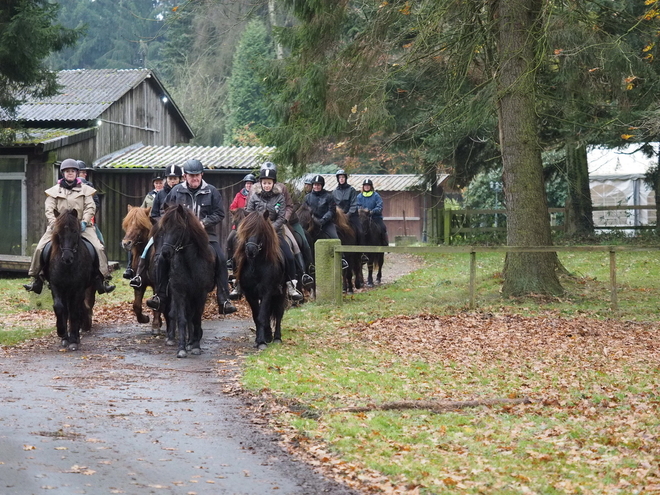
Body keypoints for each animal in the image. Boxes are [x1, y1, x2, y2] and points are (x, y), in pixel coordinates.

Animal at [47, 209, 97, 352]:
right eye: (58, 233)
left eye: (74, 231)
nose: (67, 258)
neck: (67, 267)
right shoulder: (56, 286)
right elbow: (59, 307)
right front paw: (62, 333)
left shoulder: (78, 289)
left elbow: (74, 311)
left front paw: (74, 340)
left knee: (77, 309)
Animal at [121, 203, 164, 332]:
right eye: (127, 224)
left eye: (140, 225)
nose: (126, 243)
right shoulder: (139, 284)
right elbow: (136, 306)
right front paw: (145, 319)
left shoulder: (157, 284)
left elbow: (157, 304)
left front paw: (156, 325)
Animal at [151, 203, 215, 358]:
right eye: (163, 229)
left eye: (179, 228)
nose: (165, 253)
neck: (190, 264)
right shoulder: (179, 293)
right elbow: (182, 318)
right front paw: (181, 348)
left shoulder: (200, 294)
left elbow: (196, 319)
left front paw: (196, 346)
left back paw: (192, 341)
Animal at [236, 211, 288, 350]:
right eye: (246, 230)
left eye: (261, 231)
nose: (250, 251)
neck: (256, 265)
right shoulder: (250, 294)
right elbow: (257, 316)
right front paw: (259, 339)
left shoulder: (267, 292)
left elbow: (262, 316)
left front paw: (261, 342)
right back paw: (268, 335)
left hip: (281, 292)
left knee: (278, 313)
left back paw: (277, 338)